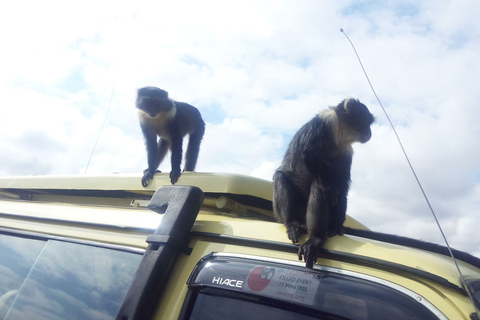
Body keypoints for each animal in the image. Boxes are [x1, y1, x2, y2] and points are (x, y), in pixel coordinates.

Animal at [272, 97, 374, 268]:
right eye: (366, 122)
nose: (370, 132)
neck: (340, 134)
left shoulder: (346, 150)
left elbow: (342, 186)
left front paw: (337, 225)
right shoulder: (325, 121)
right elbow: (309, 154)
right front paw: (327, 186)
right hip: (283, 212)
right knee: (284, 177)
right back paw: (302, 229)